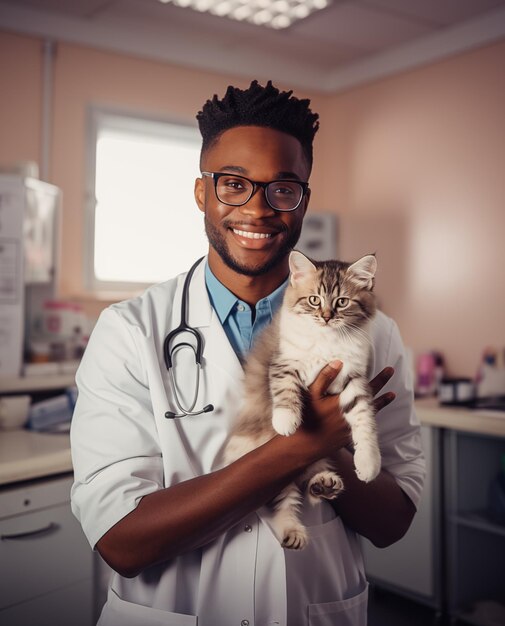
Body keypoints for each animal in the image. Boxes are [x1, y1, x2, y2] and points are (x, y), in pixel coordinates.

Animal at [222, 249, 380, 544]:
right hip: (267, 470)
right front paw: (286, 422)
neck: (327, 340)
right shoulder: (283, 362)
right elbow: (285, 391)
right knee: (283, 499)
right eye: (314, 300)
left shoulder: (354, 379)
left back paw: (324, 485)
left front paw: (368, 463)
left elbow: (364, 421)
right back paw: (292, 530)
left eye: (342, 302)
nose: (327, 316)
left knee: (305, 485)